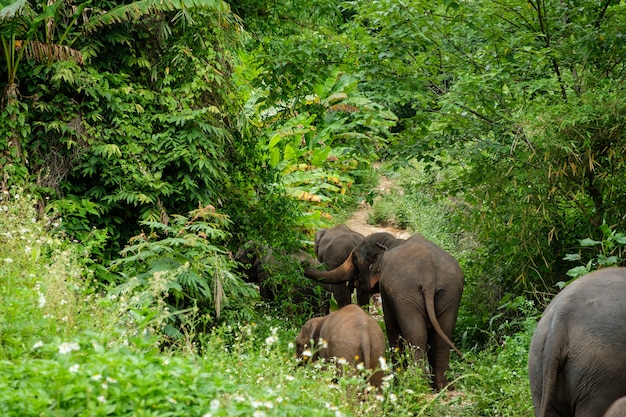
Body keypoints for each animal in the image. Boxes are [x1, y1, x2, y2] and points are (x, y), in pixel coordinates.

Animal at [302, 232, 464, 388]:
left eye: (354, 257)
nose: (303, 264)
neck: (391, 241)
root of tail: (429, 279)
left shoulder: (388, 290)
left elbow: (391, 325)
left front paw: (396, 380)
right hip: (450, 292)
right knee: (442, 336)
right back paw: (441, 386)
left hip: (406, 293)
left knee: (416, 335)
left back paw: (419, 385)